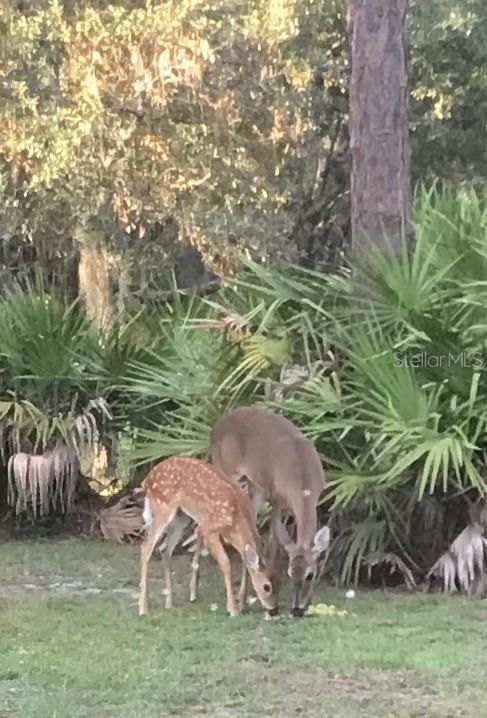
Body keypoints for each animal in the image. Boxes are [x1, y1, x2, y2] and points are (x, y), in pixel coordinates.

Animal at [139, 456, 280, 620]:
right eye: (267, 587)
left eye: (280, 583)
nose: (274, 610)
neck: (236, 519)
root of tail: (147, 480)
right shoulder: (208, 528)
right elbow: (226, 563)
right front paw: (233, 609)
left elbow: (244, 561)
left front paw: (241, 604)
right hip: (163, 507)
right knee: (146, 548)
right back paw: (143, 609)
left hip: (181, 516)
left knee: (166, 550)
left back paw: (169, 603)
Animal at [208, 408, 330, 616]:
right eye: (290, 573)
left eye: (310, 575)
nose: (296, 610)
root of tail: (219, 424)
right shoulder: (276, 498)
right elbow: (273, 545)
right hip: (227, 473)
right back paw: (237, 601)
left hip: (254, 487)